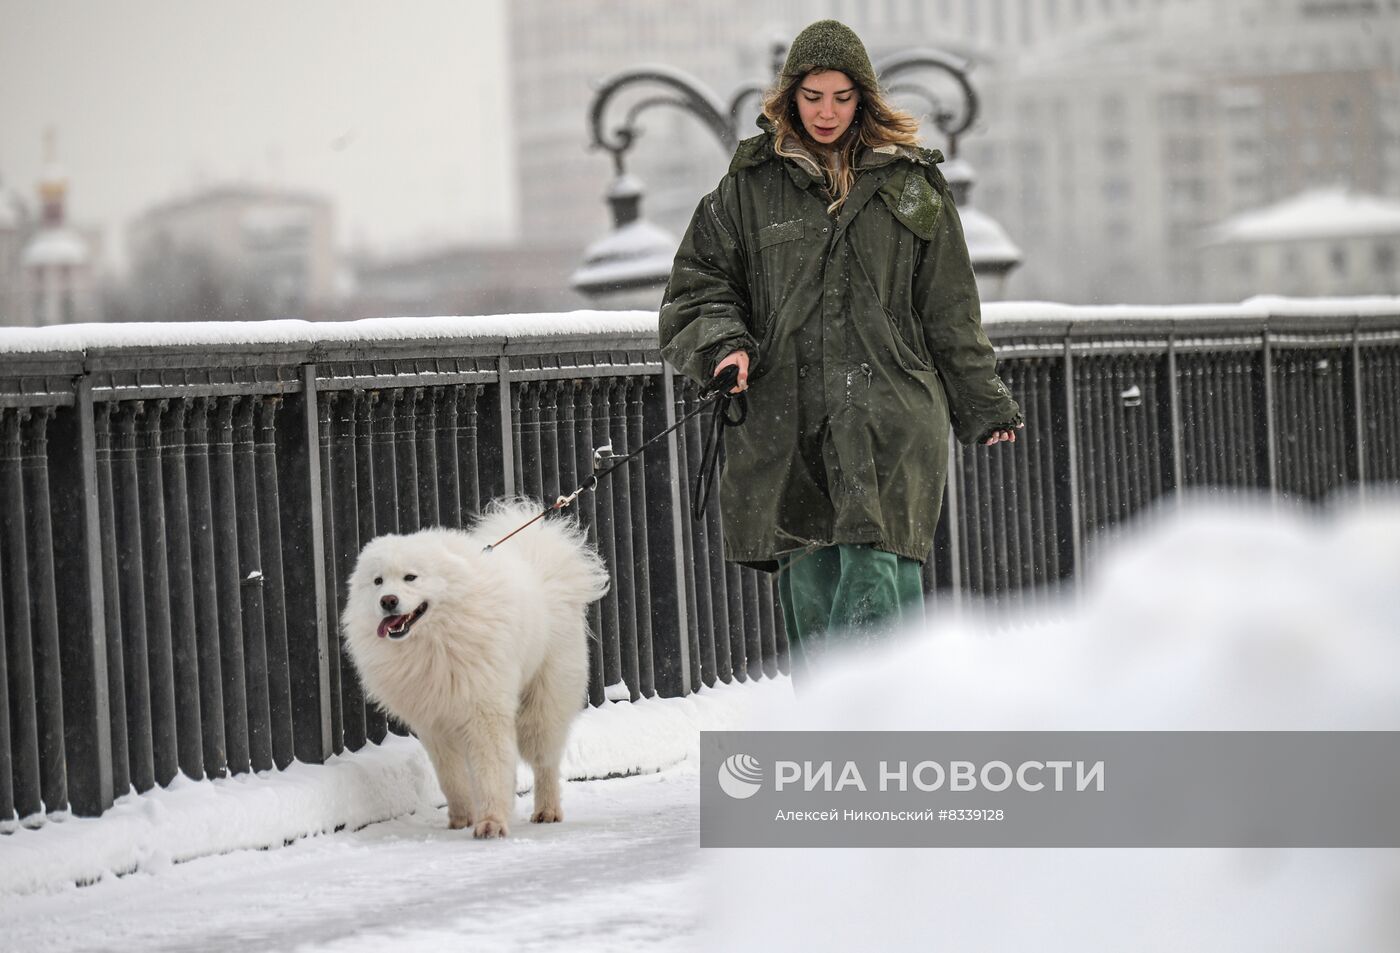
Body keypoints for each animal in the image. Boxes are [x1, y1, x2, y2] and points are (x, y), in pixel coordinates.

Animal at [343, 500, 607, 834]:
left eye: (410, 577)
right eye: (377, 581)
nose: (387, 601)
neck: (435, 640)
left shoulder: (484, 710)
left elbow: (491, 769)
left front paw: (491, 822)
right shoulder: (435, 723)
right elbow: (451, 777)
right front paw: (462, 818)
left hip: (542, 706)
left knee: (544, 761)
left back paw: (547, 810)